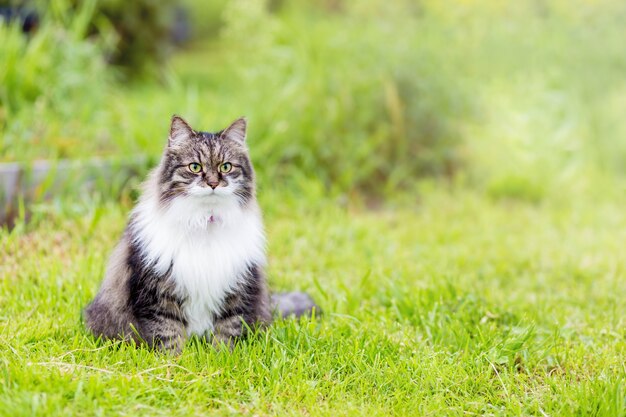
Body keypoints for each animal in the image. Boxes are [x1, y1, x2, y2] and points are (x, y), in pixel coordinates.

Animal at [84, 115, 316, 352]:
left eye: (226, 166)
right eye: (195, 167)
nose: (213, 183)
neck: (205, 221)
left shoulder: (236, 293)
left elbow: (227, 333)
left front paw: (221, 356)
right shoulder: (158, 297)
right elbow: (169, 336)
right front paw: (175, 359)